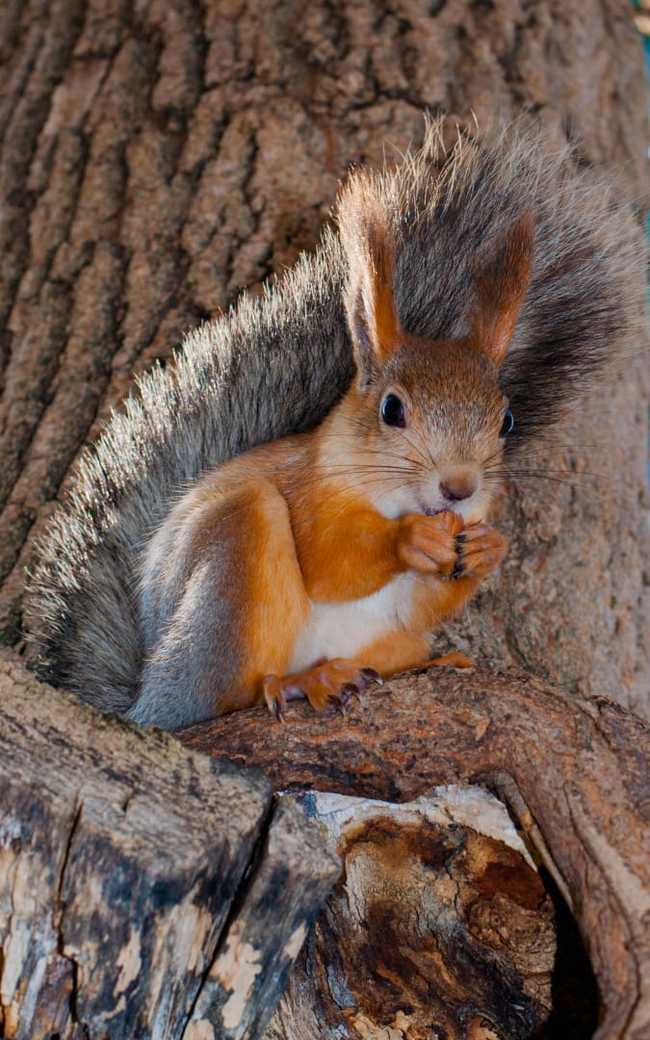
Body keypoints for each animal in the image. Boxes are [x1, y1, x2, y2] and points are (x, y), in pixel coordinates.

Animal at [24, 115, 640, 732]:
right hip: (230, 567)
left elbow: (423, 603)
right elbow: (329, 562)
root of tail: (144, 694)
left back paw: (430, 660)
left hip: (380, 642)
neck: (397, 496)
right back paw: (298, 682)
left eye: (506, 419)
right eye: (392, 409)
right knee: (218, 696)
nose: (459, 488)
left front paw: (488, 550)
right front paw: (406, 539)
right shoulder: (307, 489)